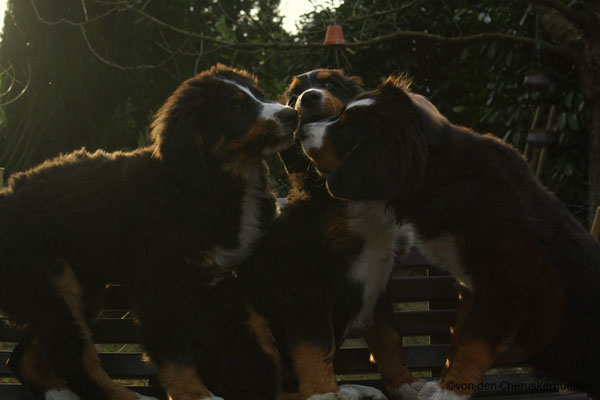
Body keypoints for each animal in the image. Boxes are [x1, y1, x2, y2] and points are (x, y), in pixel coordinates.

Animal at [0, 65, 298, 400]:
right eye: (236, 106)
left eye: (259, 95)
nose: (292, 114)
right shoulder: (160, 284)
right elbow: (176, 357)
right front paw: (199, 395)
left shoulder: (231, 278)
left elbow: (252, 342)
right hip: (50, 282)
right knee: (76, 359)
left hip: (75, 289)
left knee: (28, 356)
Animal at [237, 69, 420, 400]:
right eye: (294, 95)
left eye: (330, 84)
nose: (307, 98)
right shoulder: (308, 283)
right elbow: (316, 346)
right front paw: (323, 392)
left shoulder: (381, 278)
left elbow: (389, 336)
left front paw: (405, 383)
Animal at [298, 76, 600, 400]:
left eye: (345, 130)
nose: (301, 130)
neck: (445, 177)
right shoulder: (472, 284)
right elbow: (458, 338)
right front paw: (442, 383)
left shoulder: (504, 281)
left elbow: (471, 341)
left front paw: (449, 392)